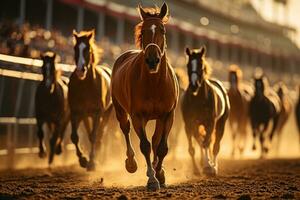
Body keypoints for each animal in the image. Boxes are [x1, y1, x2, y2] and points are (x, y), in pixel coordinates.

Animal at [68, 29, 112, 170]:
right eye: (75, 48)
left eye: (88, 49)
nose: (80, 70)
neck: (85, 86)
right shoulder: (76, 112)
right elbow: (74, 137)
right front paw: (83, 159)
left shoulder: (97, 112)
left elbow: (94, 135)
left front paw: (92, 162)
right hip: (86, 115)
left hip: (106, 113)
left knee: (99, 134)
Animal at [111, 3, 179, 191]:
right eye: (143, 31)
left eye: (162, 30)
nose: (152, 60)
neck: (154, 84)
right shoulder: (137, 116)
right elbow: (145, 145)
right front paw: (152, 178)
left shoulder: (168, 114)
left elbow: (161, 146)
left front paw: (160, 173)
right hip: (120, 110)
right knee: (125, 129)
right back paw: (131, 163)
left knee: (156, 140)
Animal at [180, 47, 230, 177]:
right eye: (188, 65)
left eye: (201, 65)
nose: (194, 85)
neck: (198, 99)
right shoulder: (189, 124)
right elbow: (193, 147)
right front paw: (197, 169)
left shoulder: (210, 123)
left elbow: (207, 143)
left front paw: (209, 167)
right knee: (200, 141)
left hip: (220, 123)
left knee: (215, 145)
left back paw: (214, 166)